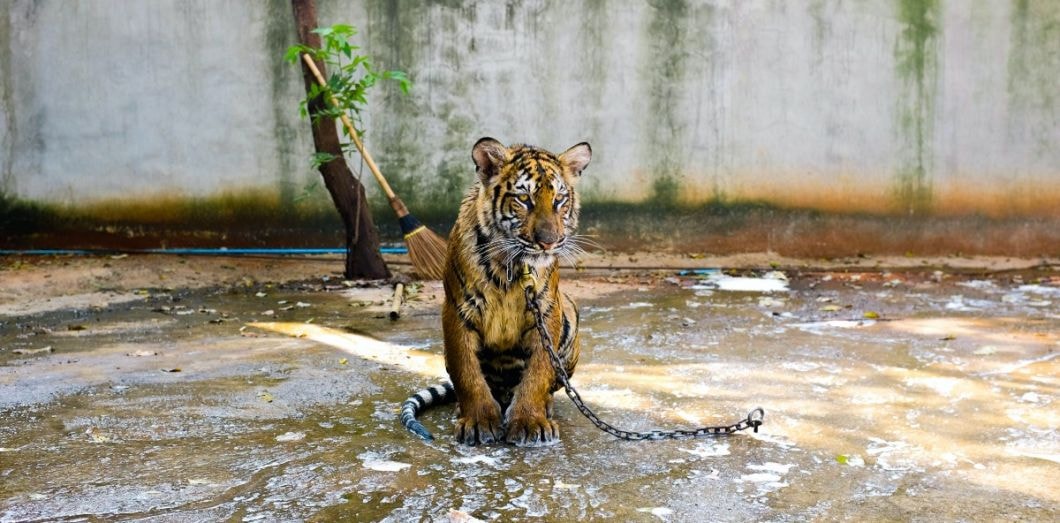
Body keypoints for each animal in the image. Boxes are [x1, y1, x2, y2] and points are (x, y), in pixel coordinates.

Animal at [401, 137, 592, 446]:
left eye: (559, 200)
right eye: (524, 199)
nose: (548, 243)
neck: (510, 267)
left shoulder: (546, 310)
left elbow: (538, 372)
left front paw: (530, 421)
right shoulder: (458, 310)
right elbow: (466, 372)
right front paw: (479, 421)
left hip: (570, 312)